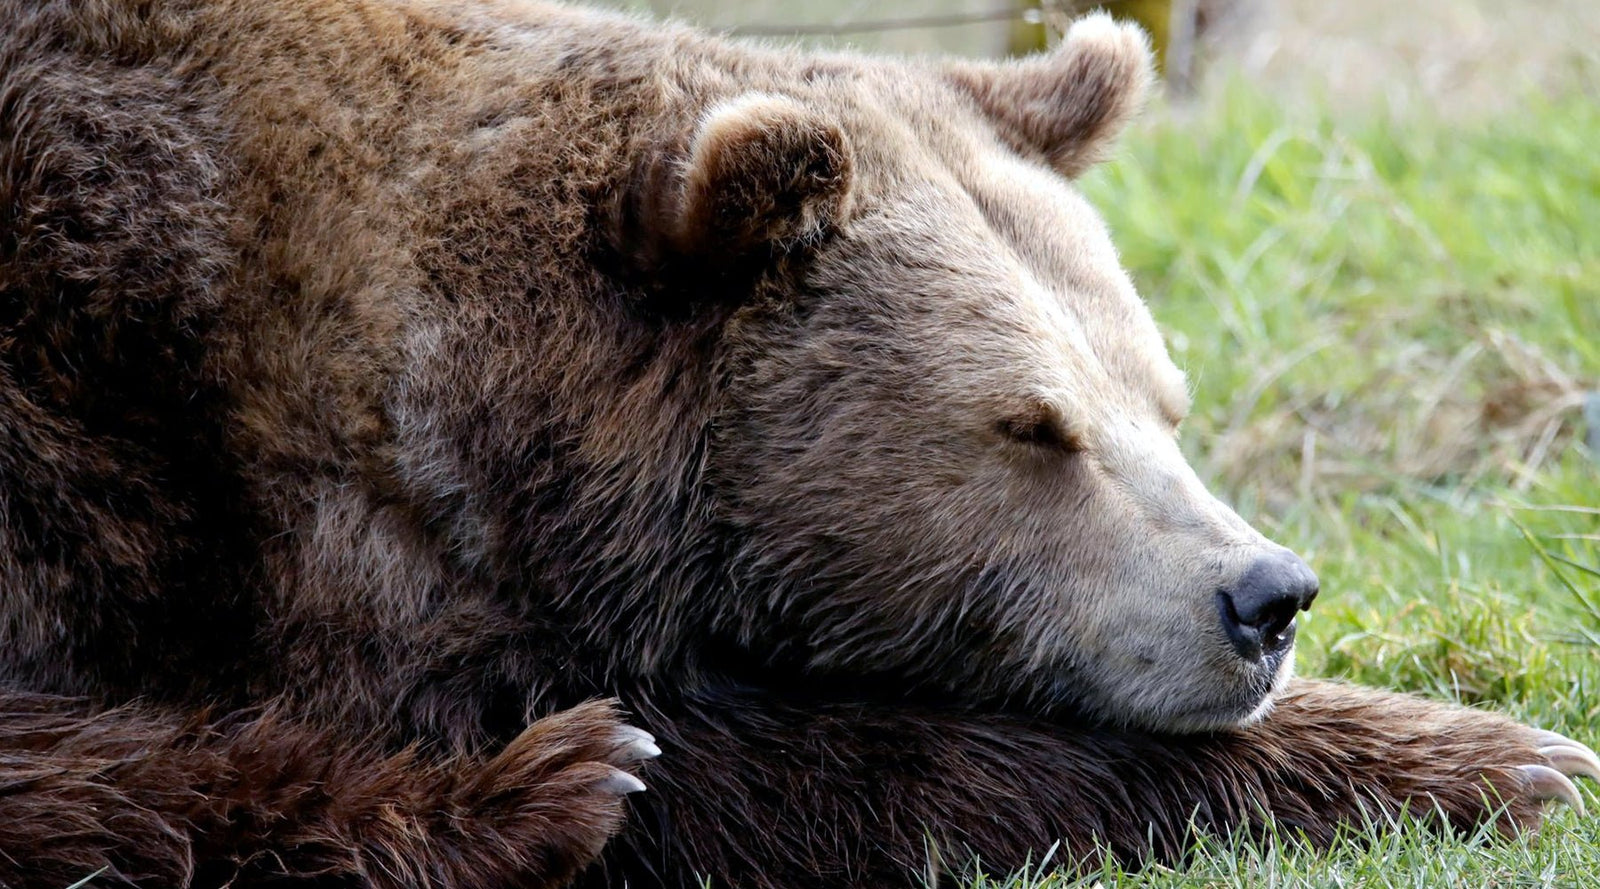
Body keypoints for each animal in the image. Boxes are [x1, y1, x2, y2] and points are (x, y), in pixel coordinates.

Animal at [0, 0, 1595, 887]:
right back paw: (543, 790)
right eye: (1032, 424)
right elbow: (795, 763)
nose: (1263, 596)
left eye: (1164, 399)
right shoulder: (267, 515)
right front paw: (1505, 757)